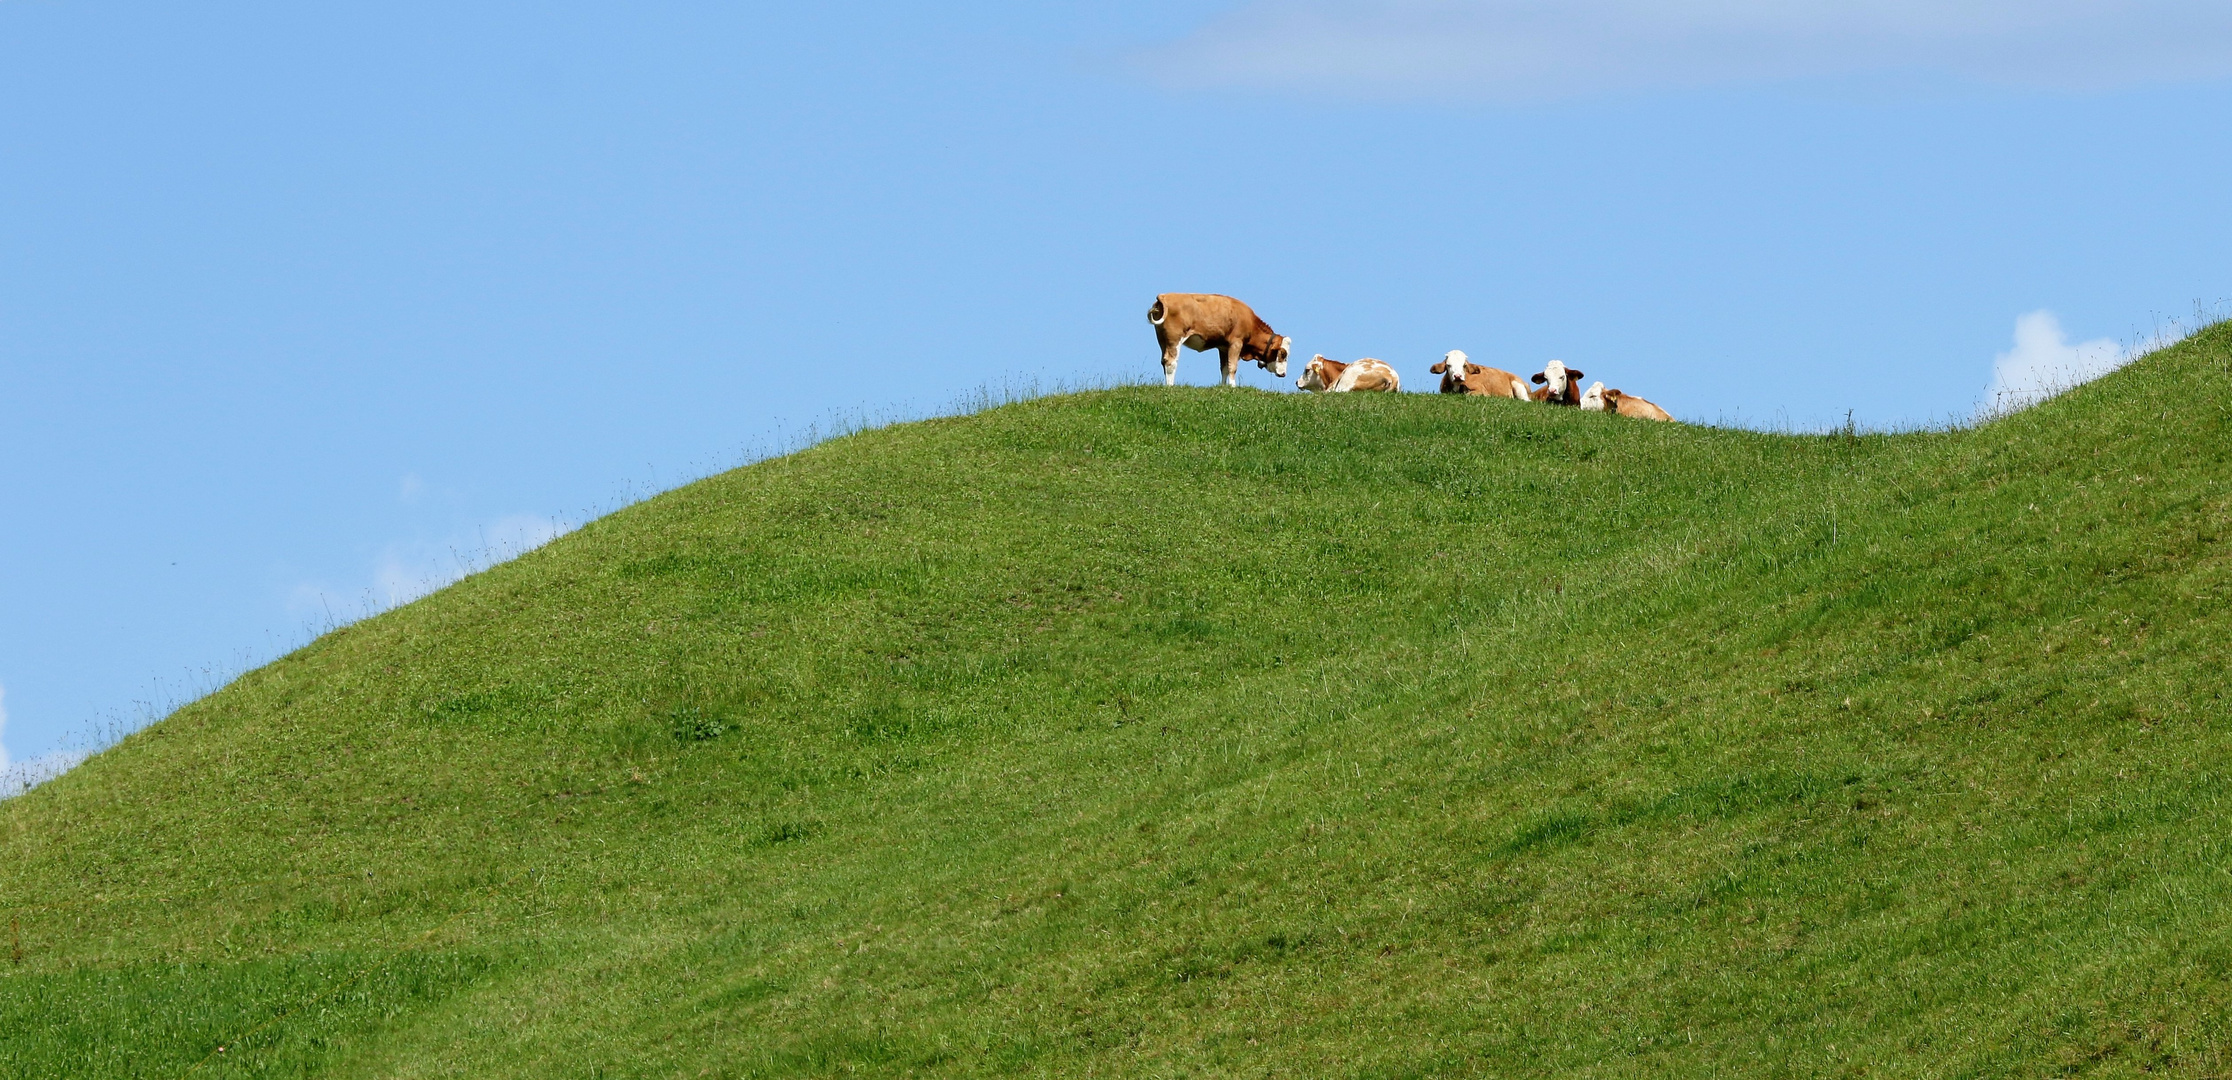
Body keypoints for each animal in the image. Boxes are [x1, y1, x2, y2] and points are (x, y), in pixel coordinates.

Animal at [1151, 294, 1294, 388]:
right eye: (1283, 354)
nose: (1284, 374)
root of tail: (1164, 296)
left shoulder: (1224, 347)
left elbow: (1224, 368)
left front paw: (1224, 387)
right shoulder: (1236, 343)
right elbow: (1232, 367)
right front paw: (1233, 387)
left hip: (1162, 340)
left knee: (1164, 361)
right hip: (1174, 339)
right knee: (1171, 362)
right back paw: (1170, 387)